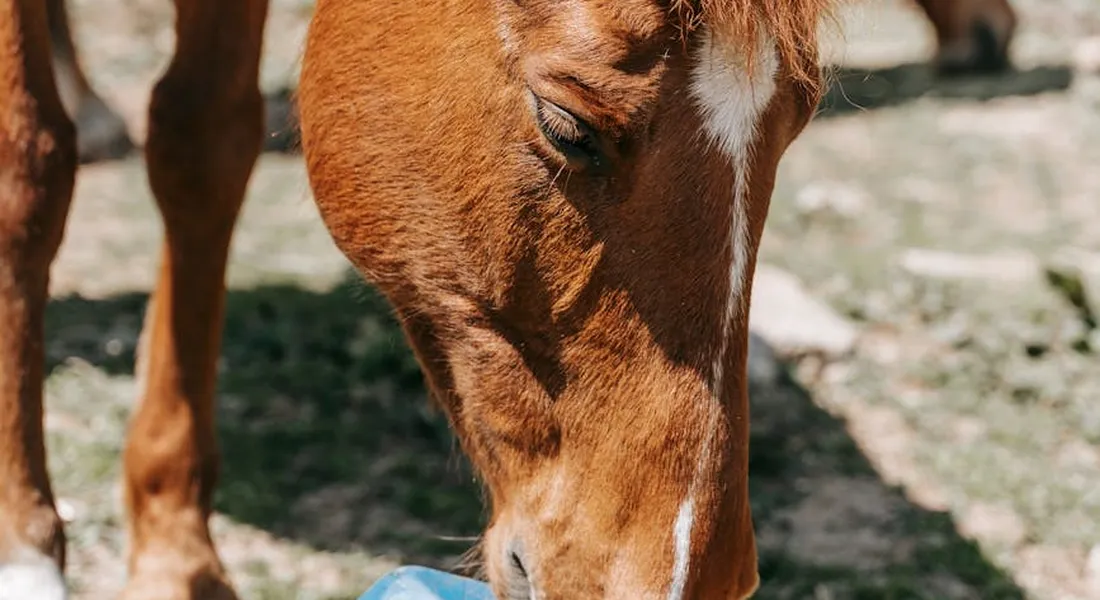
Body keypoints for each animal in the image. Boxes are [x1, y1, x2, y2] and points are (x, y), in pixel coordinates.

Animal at [0, 0, 1018, 599]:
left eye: (797, 121)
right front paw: (23, 548)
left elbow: (203, 146)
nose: (684, 581)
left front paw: (174, 550)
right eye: (568, 126)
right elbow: (26, 165)